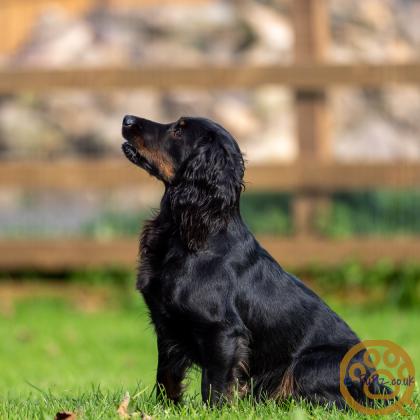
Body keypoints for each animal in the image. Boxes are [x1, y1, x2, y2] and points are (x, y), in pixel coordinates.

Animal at [121, 115, 388, 406]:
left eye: (179, 130)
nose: (127, 119)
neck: (195, 234)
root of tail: (375, 382)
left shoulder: (223, 331)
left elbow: (214, 386)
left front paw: (213, 410)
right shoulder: (167, 326)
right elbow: (166, 378)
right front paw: (165, 409)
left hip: (308, 365)